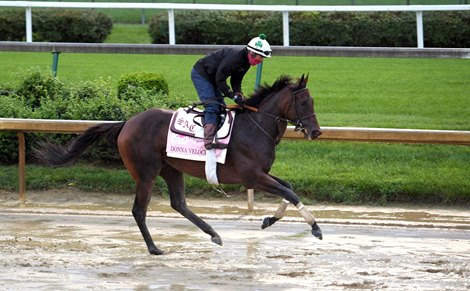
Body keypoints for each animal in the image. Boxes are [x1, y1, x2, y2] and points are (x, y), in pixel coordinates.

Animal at [35, 74, 324, 256]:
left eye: (312, 101)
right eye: (303, 101)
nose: (316, 132)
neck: (255, 127)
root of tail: (126, 123)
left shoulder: (261, 174)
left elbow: (288, 187)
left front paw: (269, 220)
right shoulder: (252, 177)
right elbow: (289, 192)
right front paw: (315, 227)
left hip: (171, 169)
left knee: (179, 204)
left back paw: (213, 233)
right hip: (146, 173)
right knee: (139, 210)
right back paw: (154, 248)